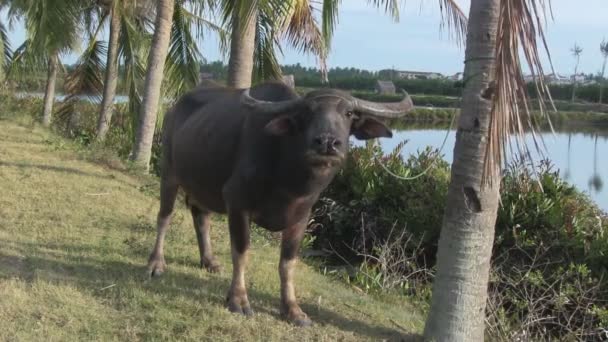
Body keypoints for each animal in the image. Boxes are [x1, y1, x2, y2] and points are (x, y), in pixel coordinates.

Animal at [147, 81, 414, 326]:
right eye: (306, 113)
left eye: (348, 113)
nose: (327, 143)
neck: (289, 179)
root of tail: (174, 109)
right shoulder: (237, 202)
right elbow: (241, 251)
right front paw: (238, 300)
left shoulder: (301, 217)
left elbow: (288, 263)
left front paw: (293, 309)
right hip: (169, 172)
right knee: (165, 216)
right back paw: (156, 263)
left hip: (201, 185)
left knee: (200, 215)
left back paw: (209, 261)